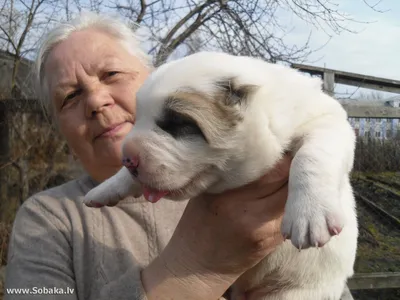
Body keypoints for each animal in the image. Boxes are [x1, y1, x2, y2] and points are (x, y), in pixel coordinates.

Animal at [83, 52, 358, 300]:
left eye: (177, 123)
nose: (128, 158)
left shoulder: (327, 119)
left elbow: (312, 156)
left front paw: (309, 213)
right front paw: (104, 189)